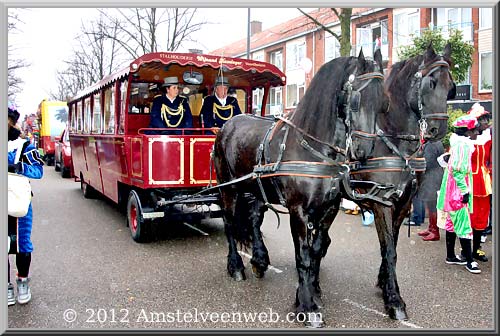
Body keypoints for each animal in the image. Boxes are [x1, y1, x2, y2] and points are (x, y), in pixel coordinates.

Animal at [213, 48, 384, 326]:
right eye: (356, 100)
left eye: (382, 102)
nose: (364, 151)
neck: (312, 148)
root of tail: (228, 124)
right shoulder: (299, 212)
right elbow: (302, 257)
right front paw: (307, 307)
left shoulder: (329, 209)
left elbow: (315, 251)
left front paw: (310, 292)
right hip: (228, 188)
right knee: (229, 222)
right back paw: (236, 266)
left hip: (255, 188)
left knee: (254, 219)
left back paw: (259, 260)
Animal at [348, 42, 458, 320]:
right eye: (430, 82)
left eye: (451, 86)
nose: (438, 131)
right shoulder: (382, 203)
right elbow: (388, 247)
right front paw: (395, 300)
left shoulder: (404, 203)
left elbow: (393, 247)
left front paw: (384, 282)